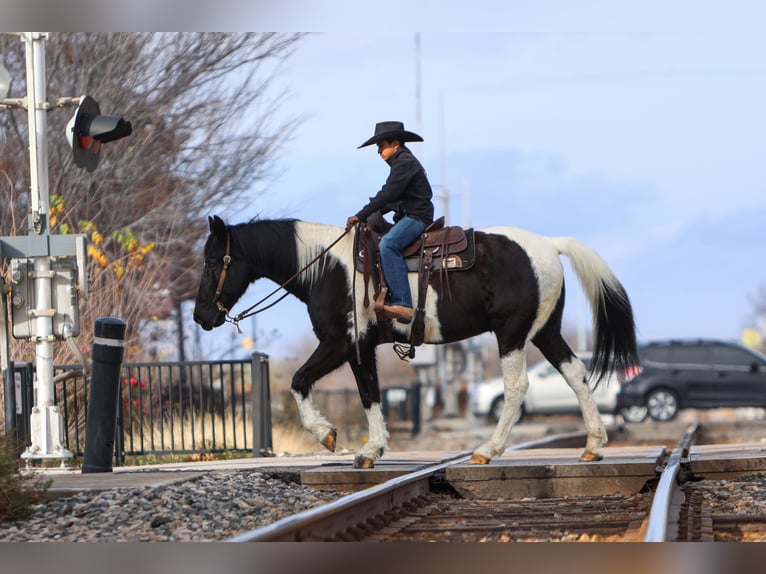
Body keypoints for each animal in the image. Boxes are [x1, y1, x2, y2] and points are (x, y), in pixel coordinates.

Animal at [195, 214, 640, 470]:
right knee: (576, 373)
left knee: (517, 387)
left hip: (511, 333)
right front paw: (372, 450)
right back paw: (593, 445)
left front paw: (327, 435)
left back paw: (488, 449)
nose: (201, 317)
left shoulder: (340, 343)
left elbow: (300, 381)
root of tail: (550, 244)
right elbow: (370, 394)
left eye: (215, 261)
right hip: (544, 330)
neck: (328, 268)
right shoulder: (362, 348)